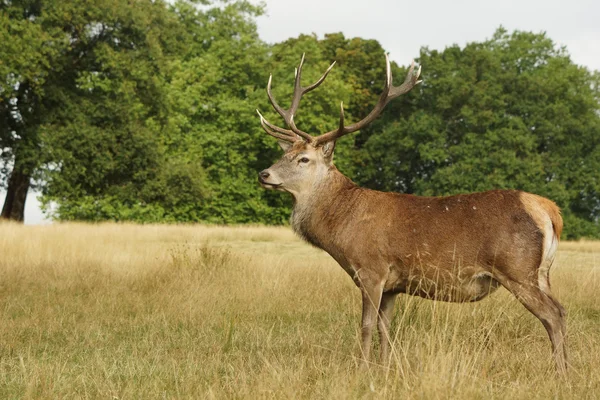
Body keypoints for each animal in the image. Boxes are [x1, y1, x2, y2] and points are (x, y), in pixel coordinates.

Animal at [255, 53, 568, 376]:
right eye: (284, 154)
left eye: (304, 159)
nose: (264, 174)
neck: (341, 227)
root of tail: (549, 210)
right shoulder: (394, 285)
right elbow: (385, 327)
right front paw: (384, 368)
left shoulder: (371, 269)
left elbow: (366, 325)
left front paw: (362, 370)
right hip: (541, 272)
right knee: (561, 309)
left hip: (517, 268)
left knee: (552, 314)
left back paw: (561, 373)